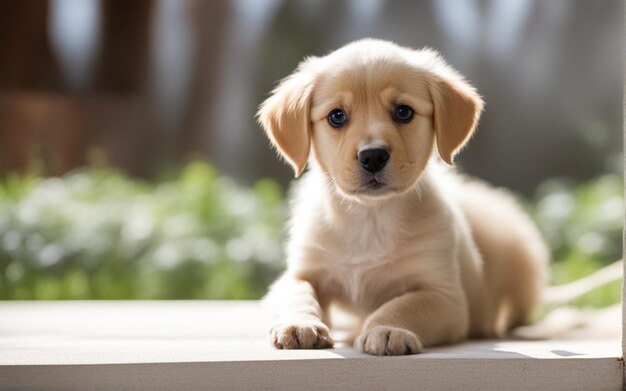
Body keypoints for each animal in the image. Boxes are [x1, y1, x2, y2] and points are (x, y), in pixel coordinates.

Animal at [254, 39, 544, 356]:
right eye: (336, 116)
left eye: (403, 112)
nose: (373, 156)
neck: (370, 216)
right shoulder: (302, 270)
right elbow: (297, 292)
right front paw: (299, 324)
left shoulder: (445, 297)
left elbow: (402, 305)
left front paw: (388, 330)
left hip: (520, 258)